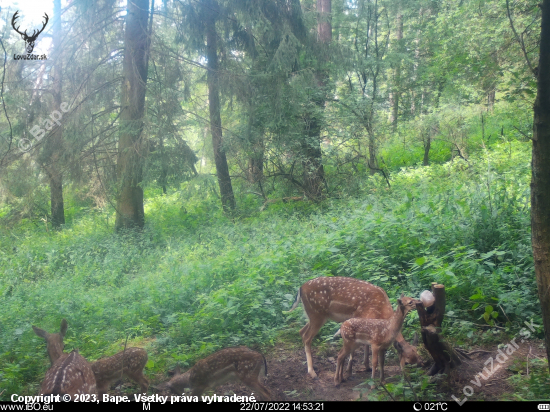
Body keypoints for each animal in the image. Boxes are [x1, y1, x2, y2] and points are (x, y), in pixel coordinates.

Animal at [288, 276, 422, 378]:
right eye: (407, 360)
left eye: (417, 355)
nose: (420, 365)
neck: (381, 311)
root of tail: (300, 288)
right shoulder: (361, 317)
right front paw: (349, 370)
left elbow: (366, 344)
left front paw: (366, 366)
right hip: (317, 314)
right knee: (307, 337)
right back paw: (312, 372)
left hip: (314, 316)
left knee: (301, 331)